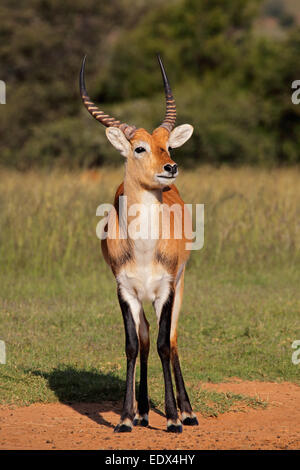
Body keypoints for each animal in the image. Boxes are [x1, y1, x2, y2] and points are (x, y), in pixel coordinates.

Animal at [78, 55, 198, 434]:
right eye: (139, 147)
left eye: (168, 144)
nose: (170, 167)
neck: (144, 250)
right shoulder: (124, 290)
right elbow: (133, 345)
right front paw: (125, 419)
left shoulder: (167, 289)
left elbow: (163, 344)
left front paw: (173, 419)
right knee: (145, 339)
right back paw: (143, 412)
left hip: (181, 285)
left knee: (170, 339)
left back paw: (188, 413)